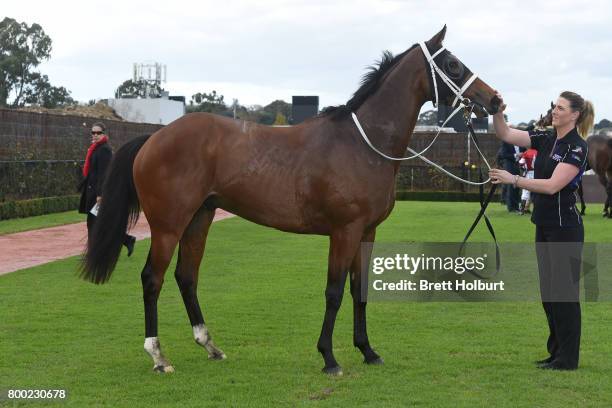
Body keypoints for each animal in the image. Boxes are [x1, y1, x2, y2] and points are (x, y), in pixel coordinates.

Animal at [81, 26, 502, 376]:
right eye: (453, 64)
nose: (494, 100)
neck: (362, 144)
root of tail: (154, 138)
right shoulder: (344, 231)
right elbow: (334, 292)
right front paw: (329, 358)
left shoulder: (366, 232)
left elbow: (359, 290)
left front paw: (367, 351)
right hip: (169, 224)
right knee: (152, 279)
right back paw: (159, 356)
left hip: (200, 217)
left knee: (187, 277)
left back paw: (210, 345)